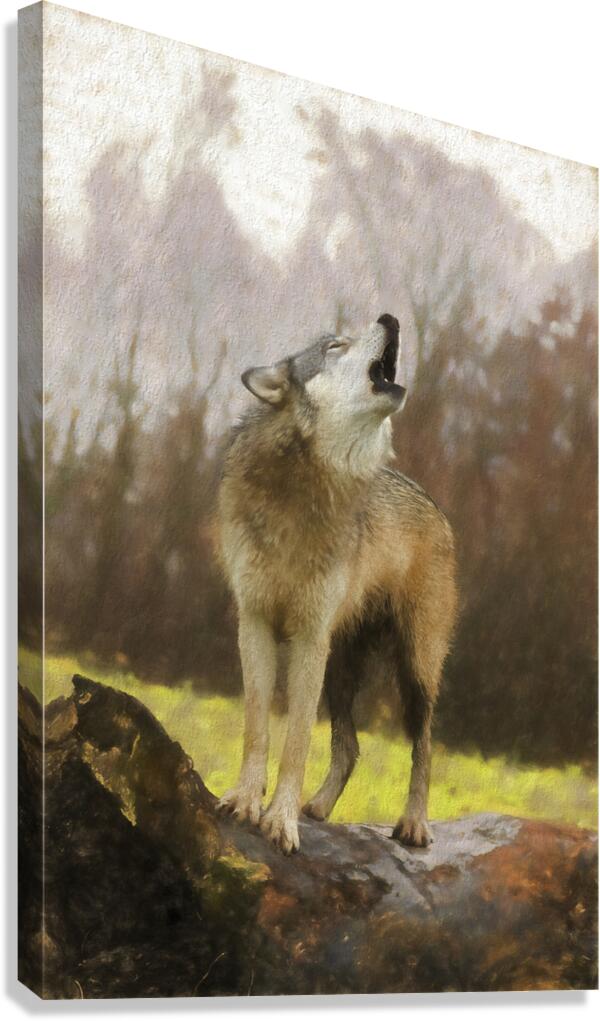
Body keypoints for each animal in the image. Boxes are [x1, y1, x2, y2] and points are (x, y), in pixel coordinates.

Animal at [215, 314, 457, 854]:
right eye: (335, 346)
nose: (390, 318)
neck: (302, 487)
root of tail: (430, 499)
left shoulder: (309, 638)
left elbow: (297, 741)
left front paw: (280, 822)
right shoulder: (254, 625)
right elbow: (257, 728)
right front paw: (245, 802)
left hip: (414, 666)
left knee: (425, 744)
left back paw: (414, 824)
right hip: (341, 669)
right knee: (350, 748)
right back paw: (319, 808)